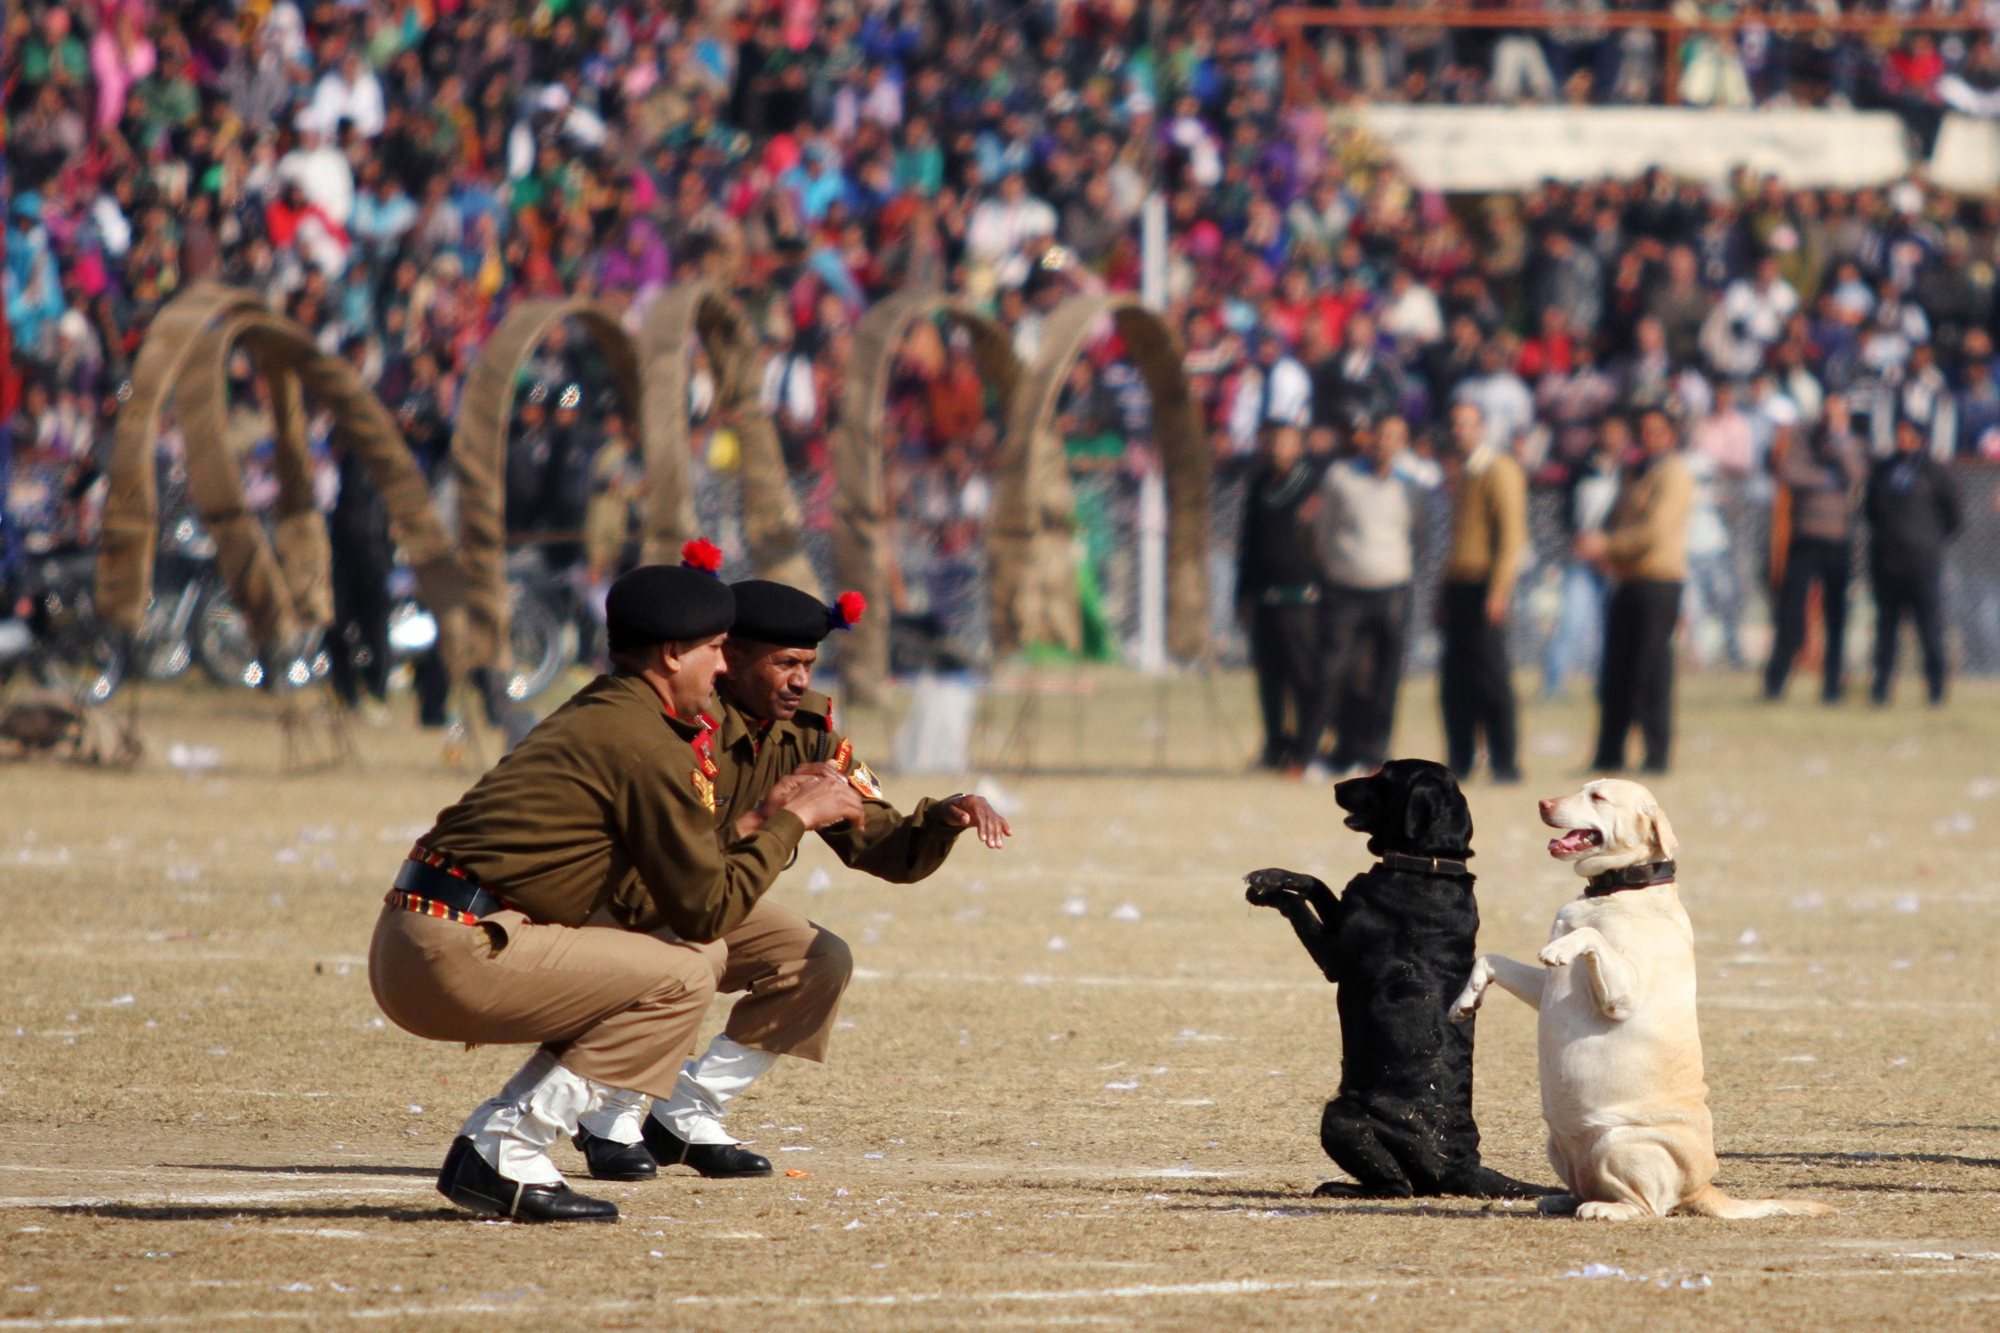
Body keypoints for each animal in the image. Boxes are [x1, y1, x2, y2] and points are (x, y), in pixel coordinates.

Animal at [1240, 752, 1536, 1200]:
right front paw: (1275, 876)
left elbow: (1297, 906)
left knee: (1398, 1187)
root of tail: (1462, 1163)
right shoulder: (1341, 912)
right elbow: (1317, 883)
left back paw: (1338, 1188)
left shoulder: (1333, 956)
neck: (1427, 866)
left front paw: (1268, 892)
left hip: (1340, 1116)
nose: (1336, 785)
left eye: (1384, 776)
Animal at [1456, 780, 1832, 1224]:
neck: (1618, 888)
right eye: (1580, 789)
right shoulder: (1544, 988)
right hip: (1559, 1145)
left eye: (1598, 797)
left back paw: (1602, 1209)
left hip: (1619, 1143)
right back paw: (1565, 1200)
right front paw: (1465, 1001)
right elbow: (1491, 957)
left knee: (1650, 1206)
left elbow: (1589, 936)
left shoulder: (1623, 996)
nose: (1542, 803)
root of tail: (1703, 1187)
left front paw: (1564, 946)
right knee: (1588, 1185)